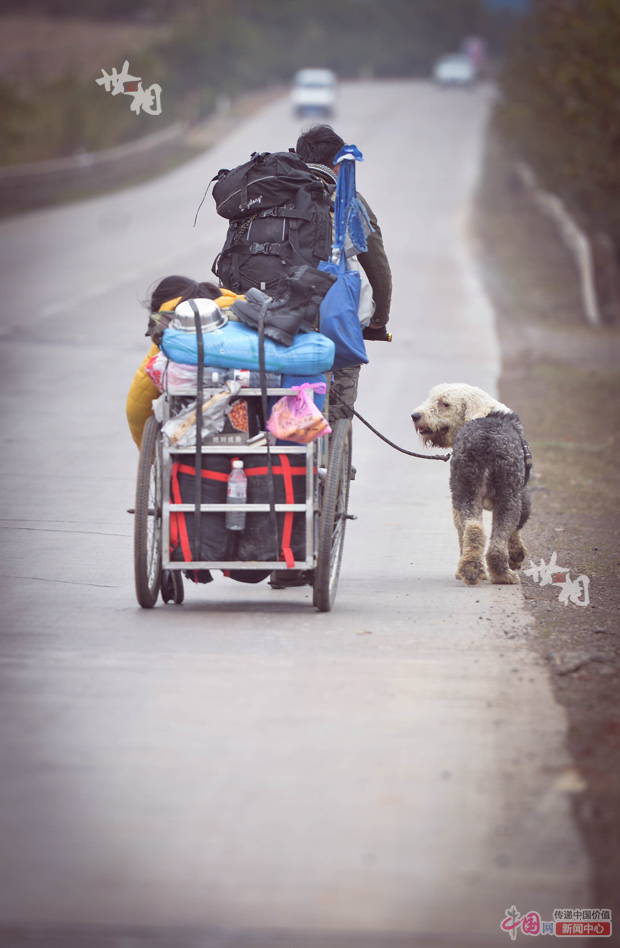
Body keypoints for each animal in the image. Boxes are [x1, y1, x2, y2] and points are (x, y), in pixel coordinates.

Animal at [412, 382, 532, 580]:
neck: (485, 412)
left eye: (445, 403)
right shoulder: (525, 498)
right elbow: (516, 529)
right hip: (509, 497)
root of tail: (485, 440)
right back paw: (502, 573)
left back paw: (470, 569)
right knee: (497, 538)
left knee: (473, 530)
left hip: (465, 492)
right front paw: (516, 556)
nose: (415, 416)